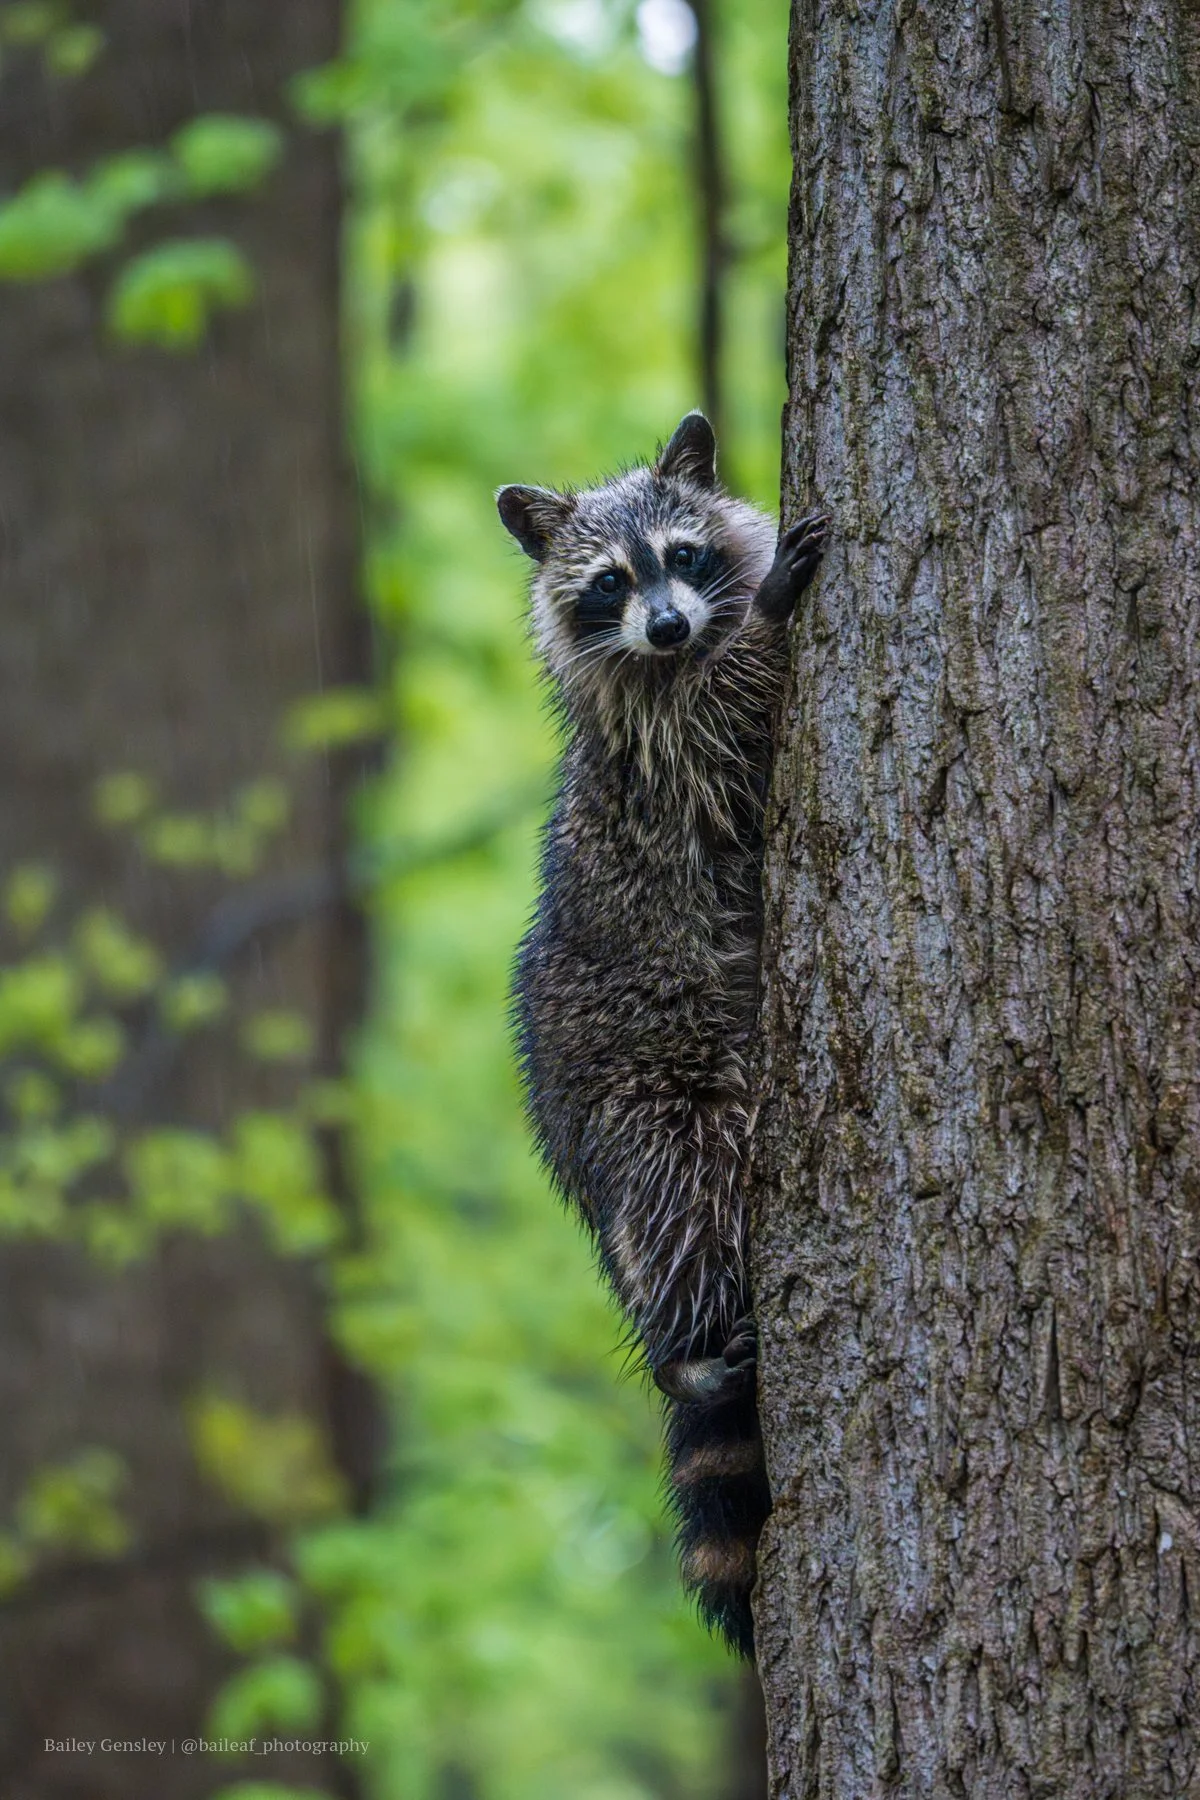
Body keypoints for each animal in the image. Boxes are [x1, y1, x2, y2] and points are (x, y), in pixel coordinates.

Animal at [498, 413, 826, 1657]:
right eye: (609, 582)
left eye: (682, 556)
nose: (674, 623)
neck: (672, 654)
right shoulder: (661, 753)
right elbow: (724, 720)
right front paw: (772, 609)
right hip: (651, 1105)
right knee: (697, 1194)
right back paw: (694, 1353)